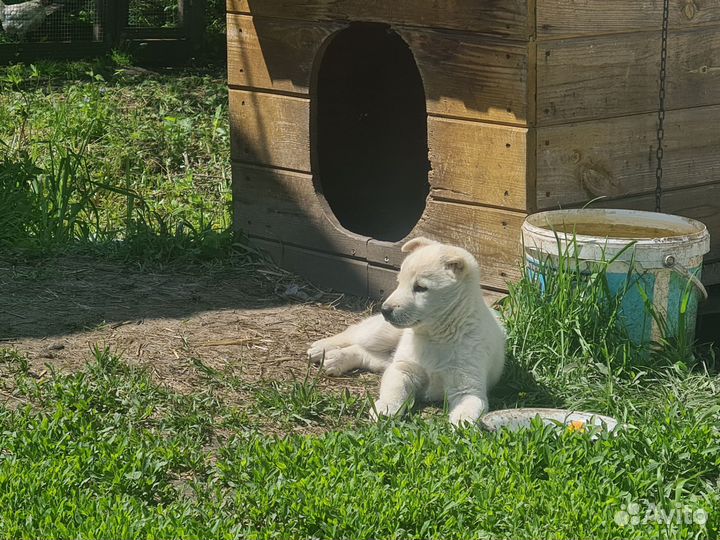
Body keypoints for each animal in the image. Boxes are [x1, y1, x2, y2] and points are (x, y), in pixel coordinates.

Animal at [310, 237, 506, 426]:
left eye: (420, 287)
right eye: (399, 282)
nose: (385, 310)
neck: (436, 336)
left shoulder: (468, 386)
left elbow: (471, 404)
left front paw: (463, 422)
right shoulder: (403, 369)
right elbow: (394, 391)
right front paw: (385, 408)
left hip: (388, 355)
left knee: (365, 353)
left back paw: (336, 359)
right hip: (382, 333)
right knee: (354, 333)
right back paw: (322, 348)